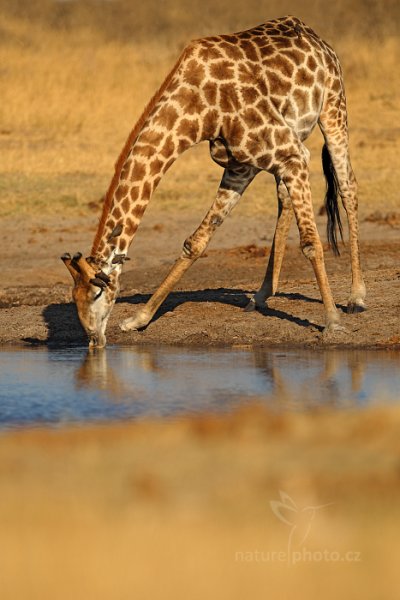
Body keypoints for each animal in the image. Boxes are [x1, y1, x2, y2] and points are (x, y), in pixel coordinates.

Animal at [61, 15, 366, 346]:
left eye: (97, 292)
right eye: (73, 299)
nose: (93, 338)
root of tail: (316, 37)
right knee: (285, 198)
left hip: (333, 108)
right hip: (284, 148)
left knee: (348, 188)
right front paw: (139, 319)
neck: (197, 109)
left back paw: (356, 297)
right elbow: (195, 242)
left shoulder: (290, 152)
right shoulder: (241, 165)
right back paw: (261, 295)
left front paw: (333, 322)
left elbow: (310, 243)